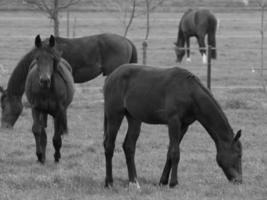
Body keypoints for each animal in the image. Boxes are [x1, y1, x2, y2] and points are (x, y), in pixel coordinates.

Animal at [25, 35, 75, 163]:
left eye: (52, 59)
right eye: (38, 58)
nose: (44, 80)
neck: (46, 91)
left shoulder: (59, 111)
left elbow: (56, 137)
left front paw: (57, 157)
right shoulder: (36, 108)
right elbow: (37, 130)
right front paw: (39, 156)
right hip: (44, 112)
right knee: (43, 133)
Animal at [103, 63, 244, 188]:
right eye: (239, 155)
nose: (239, 180)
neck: (189, 92)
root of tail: (110, 77)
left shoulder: (184, 126)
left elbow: (170, 152)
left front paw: (163, 181)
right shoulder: (173, 122)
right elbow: (175, 152)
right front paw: (173, 183)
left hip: (134, 119)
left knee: (129, 146)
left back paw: (134, 182)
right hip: (115, 115)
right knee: (109, 146)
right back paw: (109, 182)